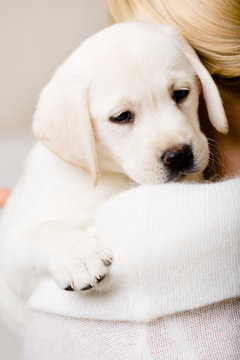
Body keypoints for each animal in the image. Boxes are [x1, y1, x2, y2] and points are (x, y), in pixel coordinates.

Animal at [0, 22, 227, 336]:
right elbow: (44, 229)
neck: (110, 178)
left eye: (181, 93)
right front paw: (79, 255)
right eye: (121, 117)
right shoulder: (11, 256)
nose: (179, 156)